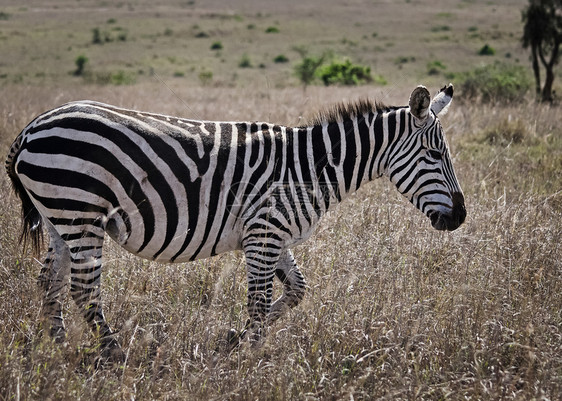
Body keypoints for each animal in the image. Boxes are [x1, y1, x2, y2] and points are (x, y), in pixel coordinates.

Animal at [4, 83, 464, 358]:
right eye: (434, 155)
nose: (460, 217)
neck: (309, 169)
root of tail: (31, 128)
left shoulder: (273, 235)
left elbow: (296, 290)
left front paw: (234, 342)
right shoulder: (265, 233)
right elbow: (259, 302)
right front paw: (250, 361)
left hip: (60, 217)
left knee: (50, 281)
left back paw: (57, 349)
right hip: (80, 212)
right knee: (83, 288)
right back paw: (113, 354)